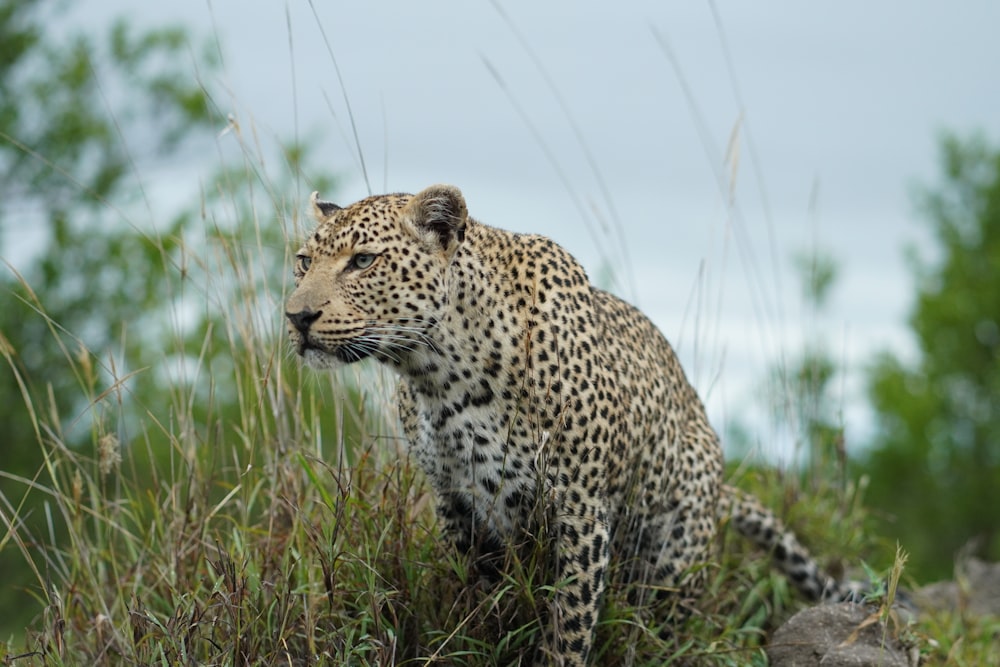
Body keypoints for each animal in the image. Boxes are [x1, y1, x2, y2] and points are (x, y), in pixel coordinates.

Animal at [284, 185, 860, 664]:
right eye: (303, 262)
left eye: (363, 261)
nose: (296, 317)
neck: (440, 376)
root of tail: (720, 483)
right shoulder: (456, 499)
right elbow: (484, 607)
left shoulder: (579, 507)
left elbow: (570, 621)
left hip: (671, 562)